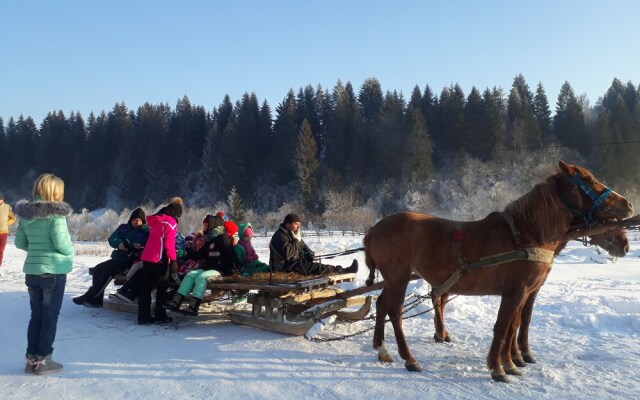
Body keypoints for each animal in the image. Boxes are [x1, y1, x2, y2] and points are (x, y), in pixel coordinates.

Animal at [362, 161, 632, 382]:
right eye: (589, 180)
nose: (628, 205)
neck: (526, 235)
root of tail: (374, 229)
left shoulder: (524, 292)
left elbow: (514, 325)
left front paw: (512, 361)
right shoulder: (517, 291)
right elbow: (504, 327)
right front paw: (499, 367)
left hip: (392, 280)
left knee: (382, 304)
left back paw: (382, 350)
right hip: (399, 278)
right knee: (395, 311)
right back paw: (409, 358)